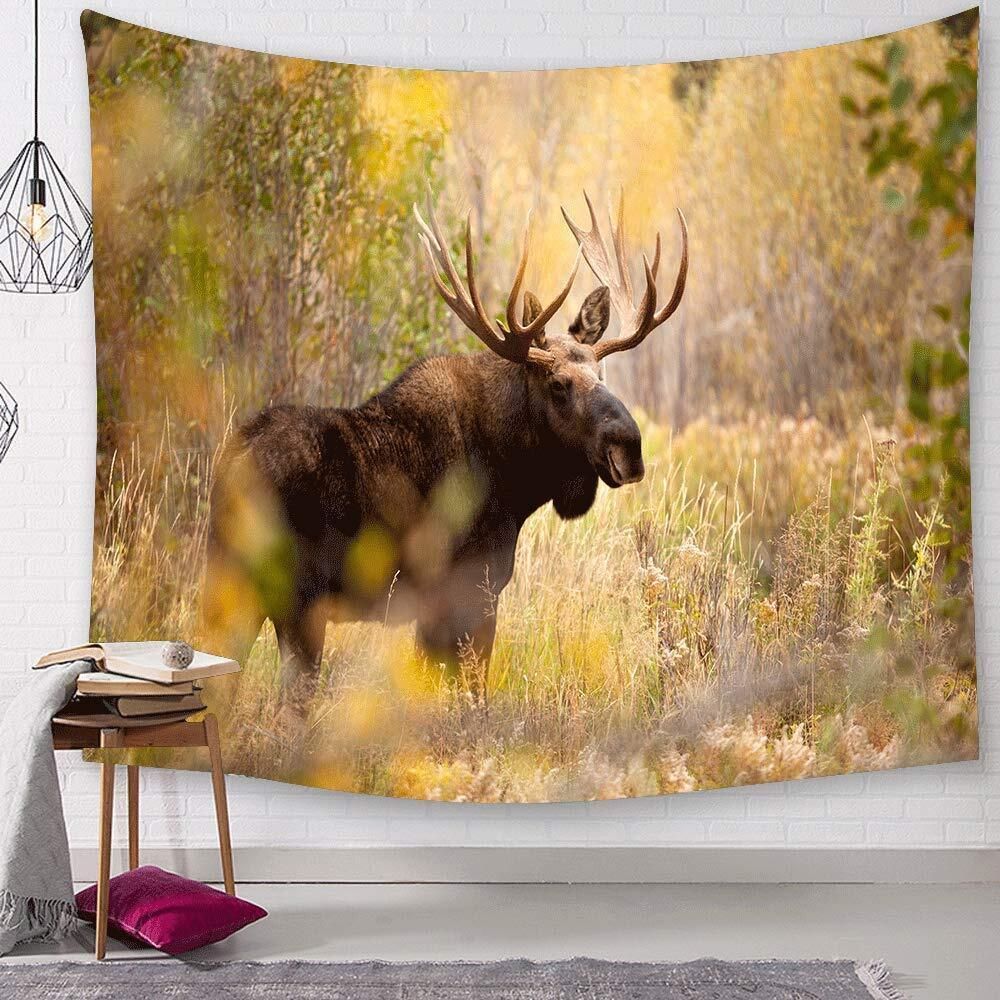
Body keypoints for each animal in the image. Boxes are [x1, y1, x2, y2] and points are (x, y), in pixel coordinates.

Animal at [202, 191, 687, 696]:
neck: (514, 477)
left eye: (601, 373)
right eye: (557, 384)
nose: (628, 447)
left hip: (227, 588)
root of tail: (232, 465)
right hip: (296, 601)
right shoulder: (469, 590)